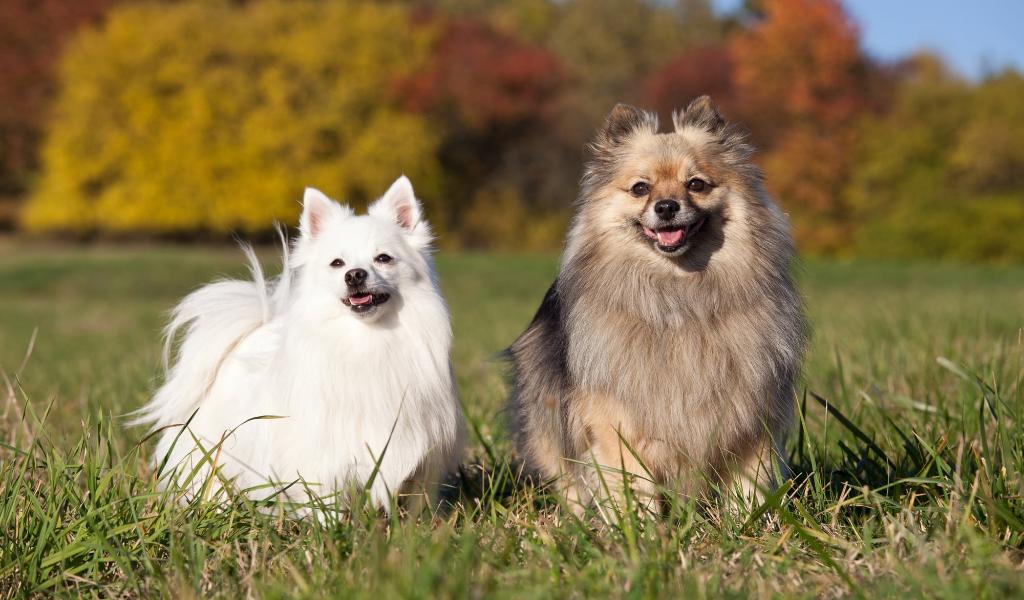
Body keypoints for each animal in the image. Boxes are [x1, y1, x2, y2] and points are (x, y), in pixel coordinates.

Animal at [133, 175, 464, 511]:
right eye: (337, 263)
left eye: (383, 258)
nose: (354, 275)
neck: (367, 339)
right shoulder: (326, 460)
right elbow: (326, 506)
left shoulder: (421, 463)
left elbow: (416, 508)